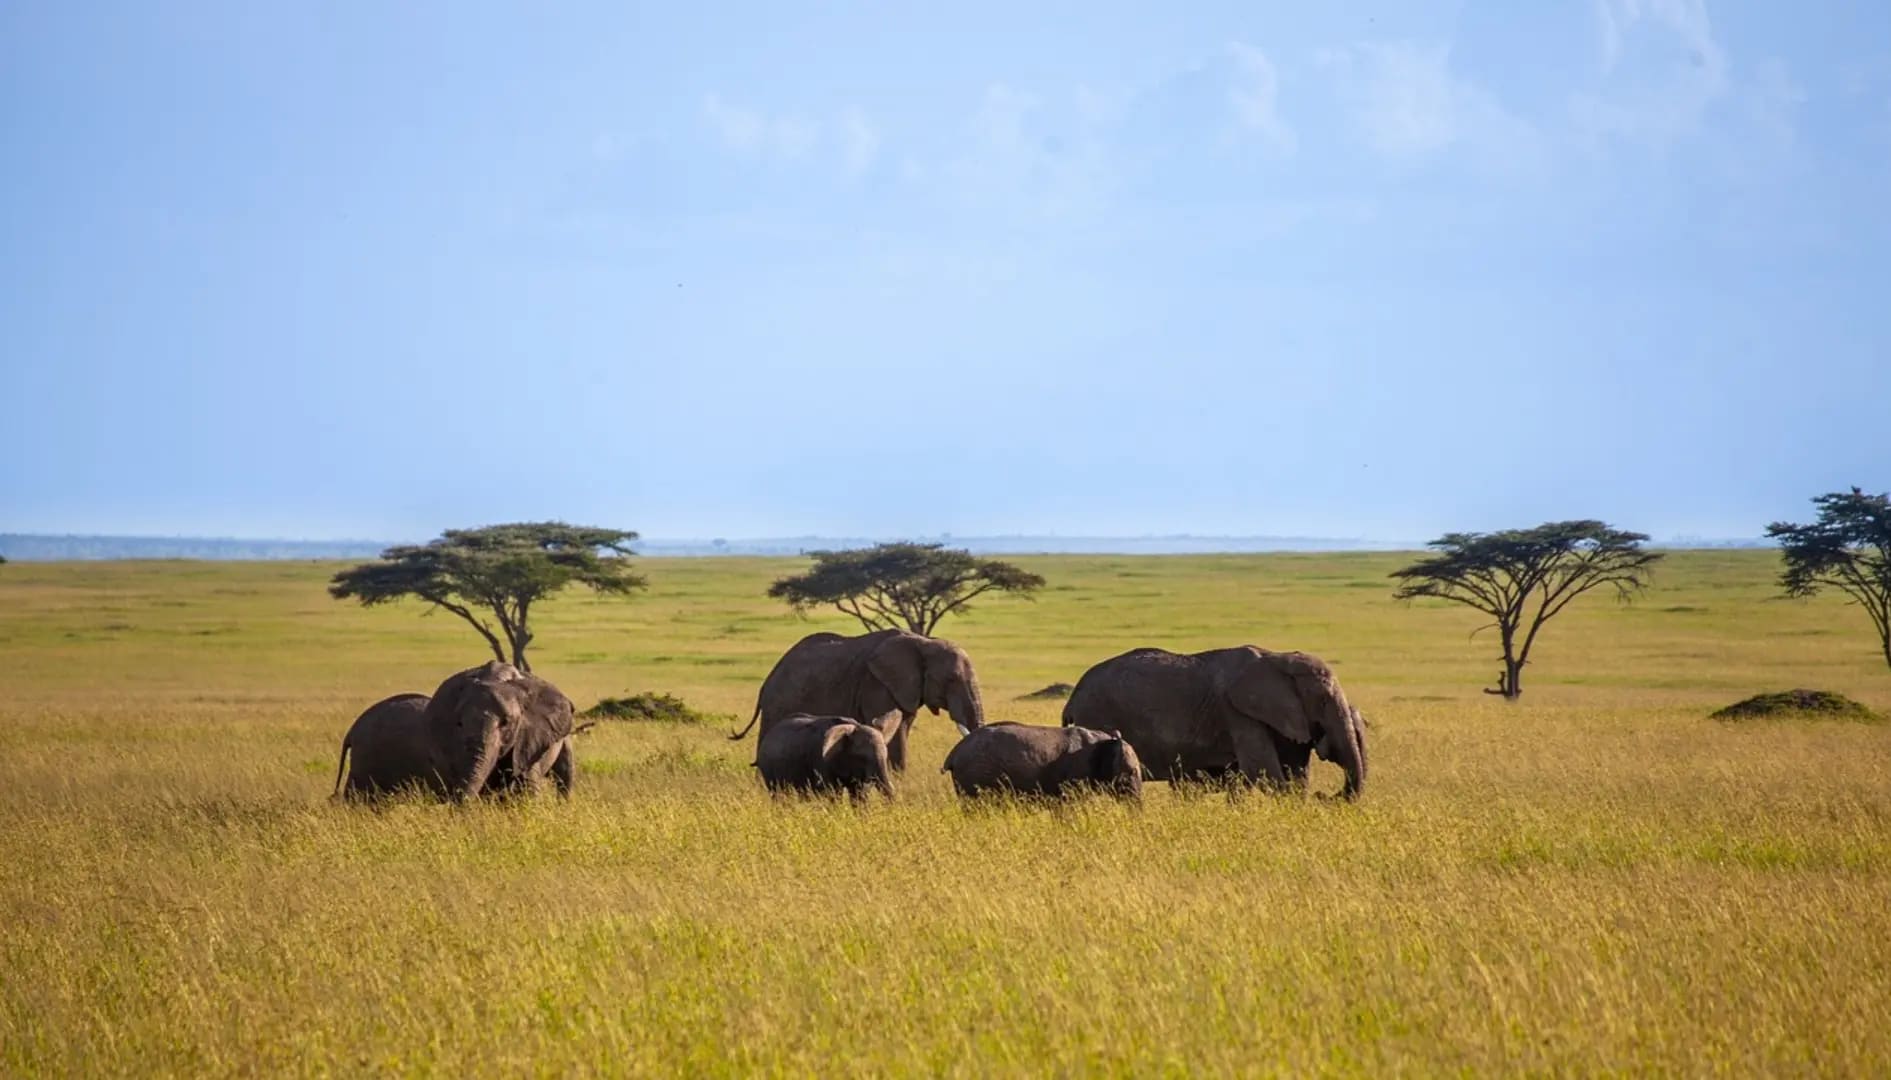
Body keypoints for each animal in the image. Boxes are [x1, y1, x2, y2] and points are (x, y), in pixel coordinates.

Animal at [332, 660, 577, 802]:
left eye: (506, 723)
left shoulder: (530, 741)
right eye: (459, 724)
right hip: (366, 761)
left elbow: (524, 788)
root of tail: (352, 730)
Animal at [730, 629, 986, 771]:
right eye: (950, 679)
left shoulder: (905, 688)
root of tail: (766, 682)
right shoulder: (875, 683)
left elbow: (902, 728)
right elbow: (892, 731)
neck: (923, 642)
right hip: (779, 702)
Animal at [754, 714, 895, 801]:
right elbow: (832, 793)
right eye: (861, 757)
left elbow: (858, 795)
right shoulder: (821, 761)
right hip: (767, 767)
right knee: (779, 792)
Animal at [1061, 646, 1367, 799]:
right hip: (1097, 715)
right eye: (1324, 701)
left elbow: (1295, 772)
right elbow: (1263, 770)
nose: (1324, 796)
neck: (1279, 657)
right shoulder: (1238, 712)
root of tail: (1073, 699)